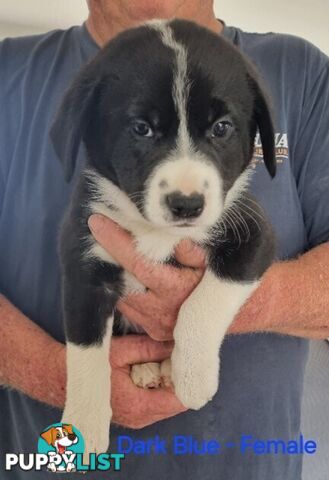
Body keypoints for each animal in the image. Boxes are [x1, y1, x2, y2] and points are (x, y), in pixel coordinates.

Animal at [51, 19, 276, 458]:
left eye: (221, 128)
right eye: (142, 128)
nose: (186, 204)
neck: (155, 231)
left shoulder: (254, 234)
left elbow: (202, 305)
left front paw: (193, 377)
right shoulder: (84, 260)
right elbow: (85, 351)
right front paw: (82, 426)